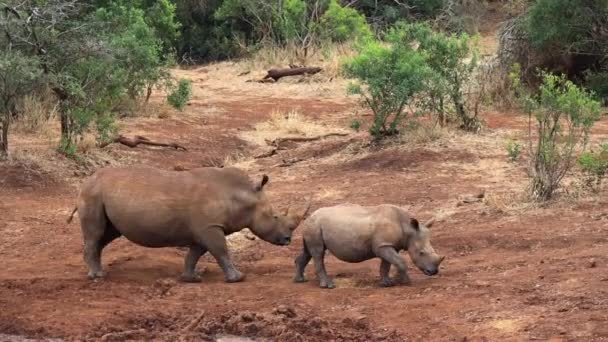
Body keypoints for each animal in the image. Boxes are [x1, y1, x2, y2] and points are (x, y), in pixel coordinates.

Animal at [69, 166, 312, 284]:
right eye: (275, 217)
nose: (288, 239)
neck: (237, 196)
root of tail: (85, 181)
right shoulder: (210, 228)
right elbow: (221, 251)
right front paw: (238, 279)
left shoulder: (205, 229)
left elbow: (195, 254)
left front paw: (191, 279)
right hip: (93, 194)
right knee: (96, 234)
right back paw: (97, 277)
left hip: (101, 194)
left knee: (105, 235)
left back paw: (97, 272)